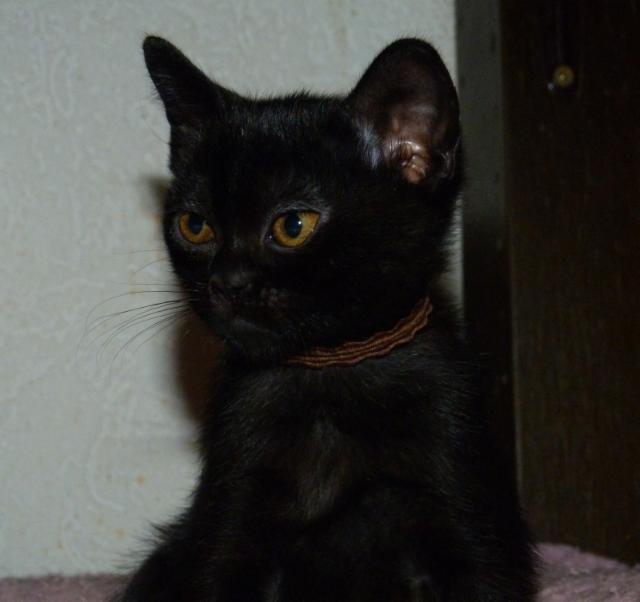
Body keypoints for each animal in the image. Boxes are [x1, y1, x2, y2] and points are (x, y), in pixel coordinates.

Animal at [116, 36, 537, 601]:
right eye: (195, 225)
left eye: (294, 225)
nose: (227, 282)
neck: (330, 370)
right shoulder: (228, 521)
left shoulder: (467, 516)